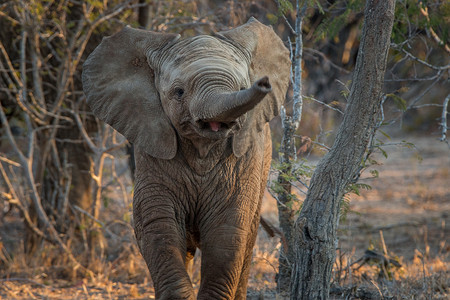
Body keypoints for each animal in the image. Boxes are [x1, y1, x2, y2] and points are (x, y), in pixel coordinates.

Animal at [82, 17, 290, 298]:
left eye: (242, 87)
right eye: (179, 92)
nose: (263, 84)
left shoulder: (244, 161)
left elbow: (227, 234)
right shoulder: (152, 151)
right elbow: (159, 228)